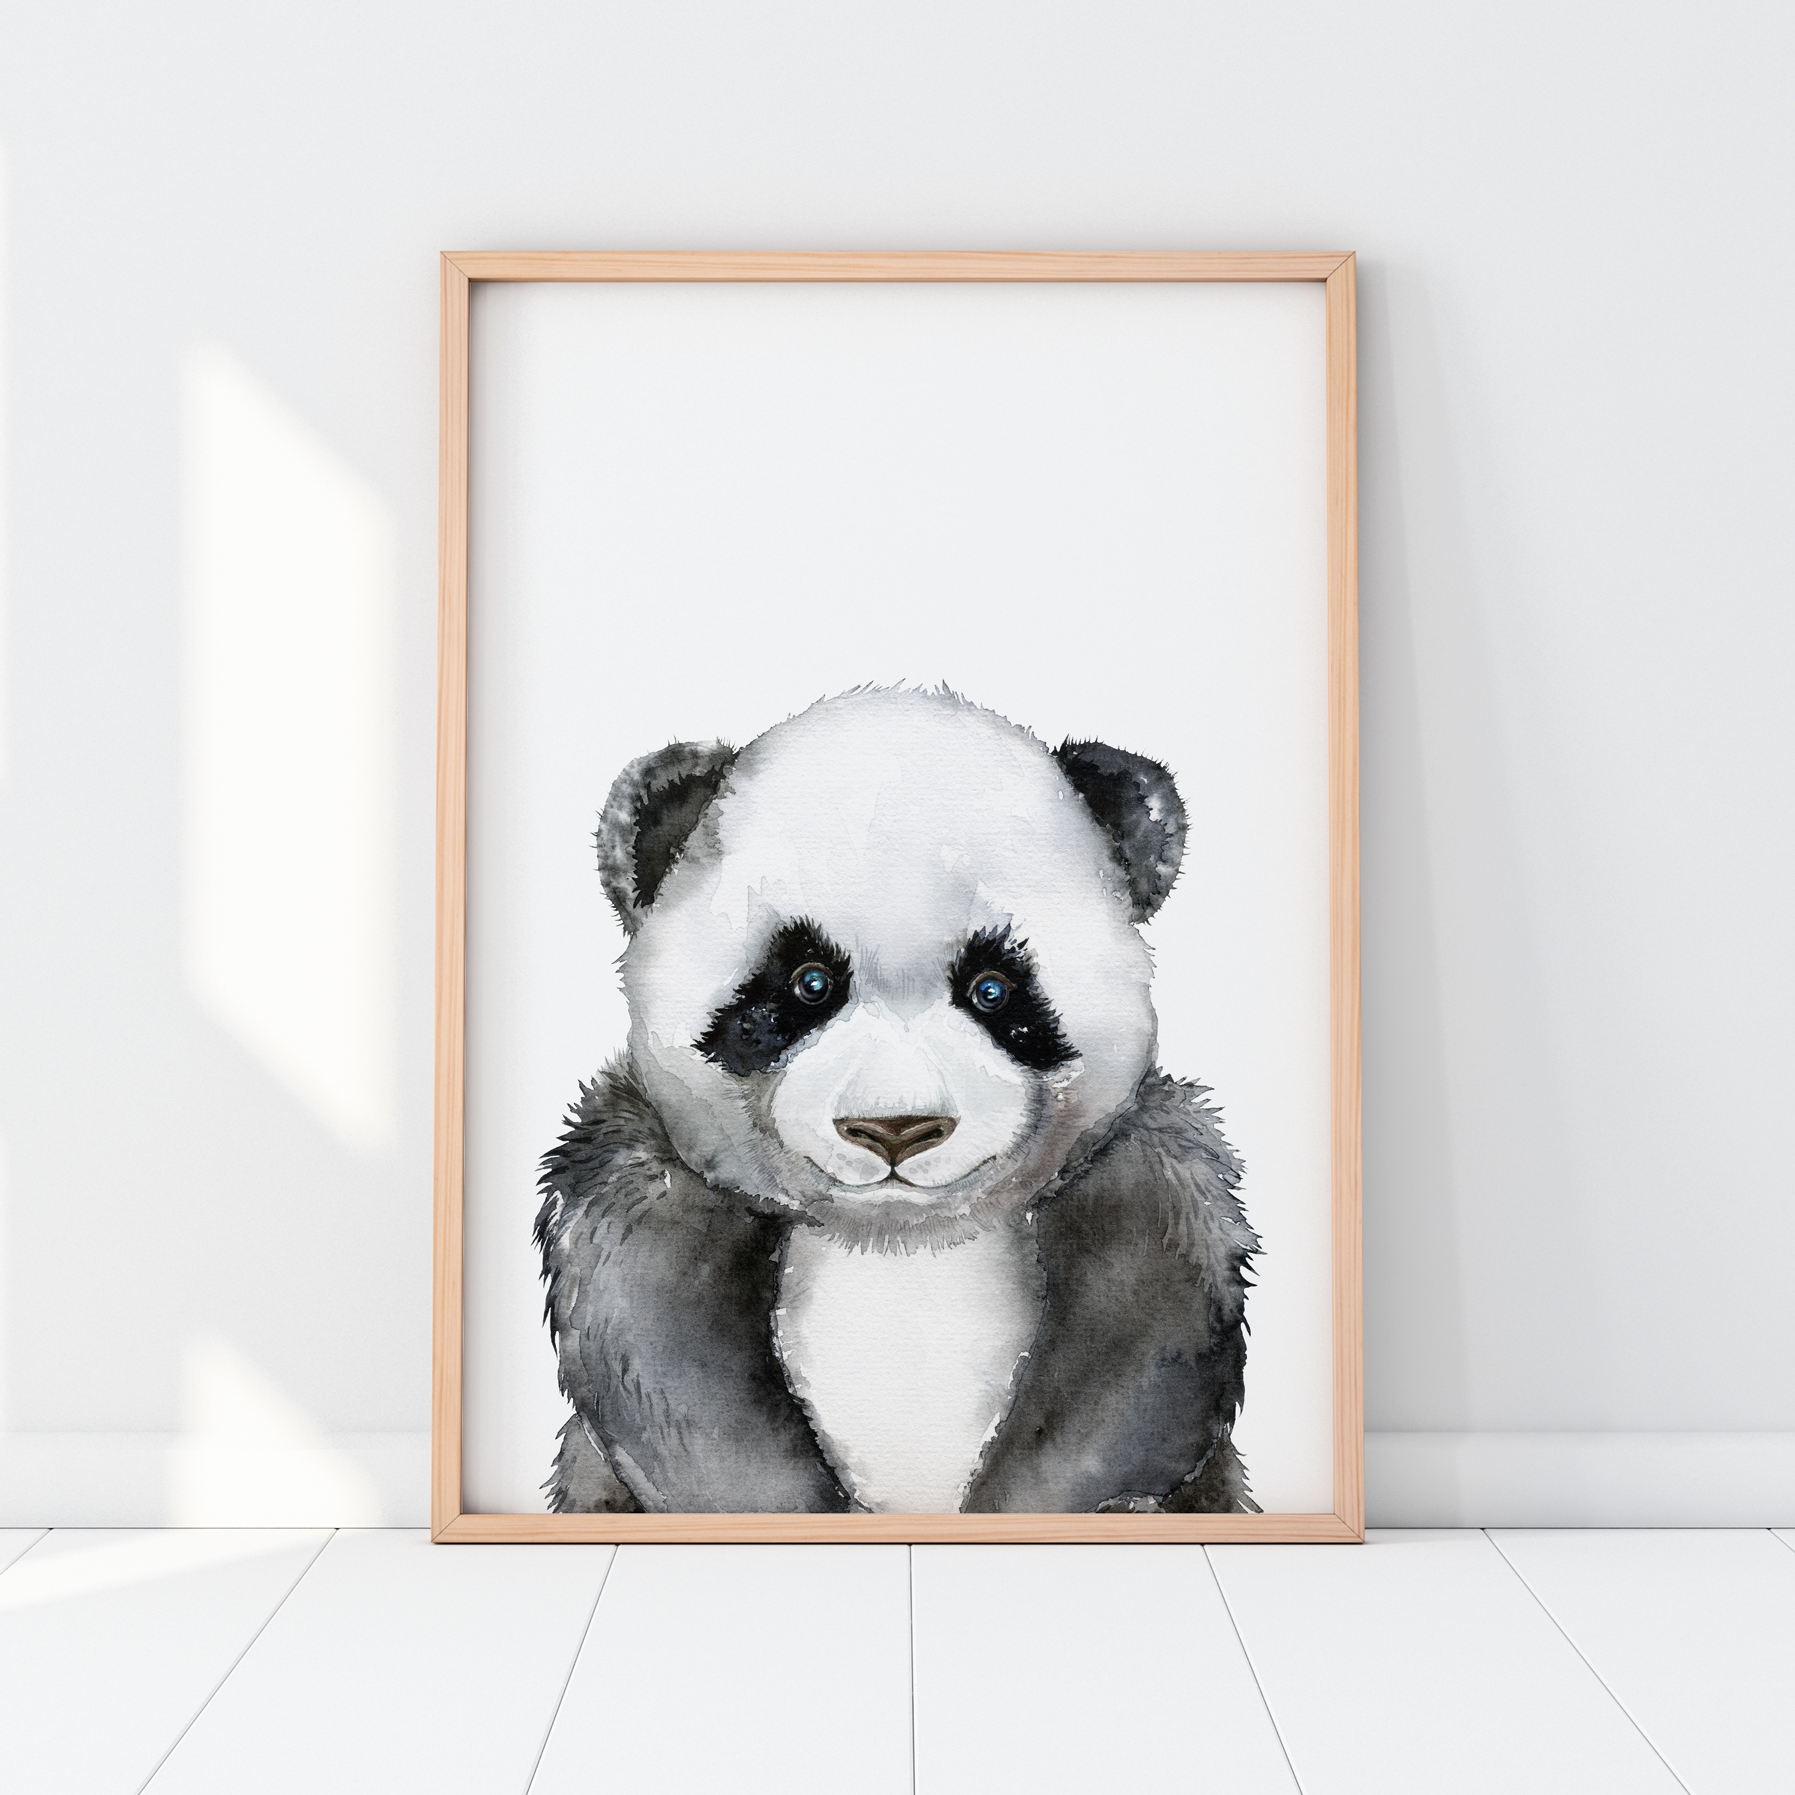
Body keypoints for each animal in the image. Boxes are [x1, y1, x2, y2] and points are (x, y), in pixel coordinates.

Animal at [534, 687, 1258, 1515]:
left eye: (992, 988)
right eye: (809, 982)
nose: (895, 1128)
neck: (899, 1248)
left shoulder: (1157, 1197)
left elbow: (1138, 1371)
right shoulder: (635, 1201)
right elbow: (665, 1371)